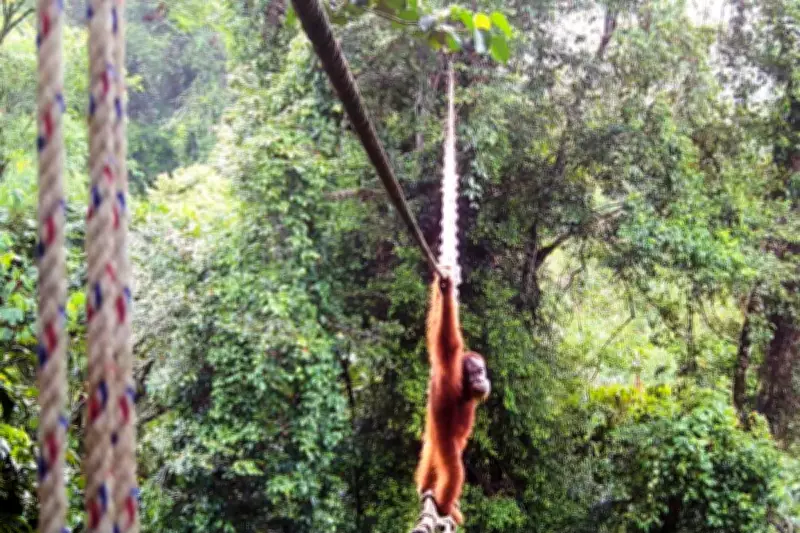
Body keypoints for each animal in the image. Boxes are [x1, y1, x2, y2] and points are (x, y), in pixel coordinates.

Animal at [415, 269, 490, 525]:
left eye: (483, 372)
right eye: (476, 373)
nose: (483, 379)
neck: (464, 389)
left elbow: (435, 329)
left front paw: (442, 290)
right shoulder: (449, 371)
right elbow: (447, 341)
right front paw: (446, 291)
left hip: (433, 441)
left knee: (430, 460)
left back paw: (425, 488)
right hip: (444, 443)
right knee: (454, 471)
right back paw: (445, 505)